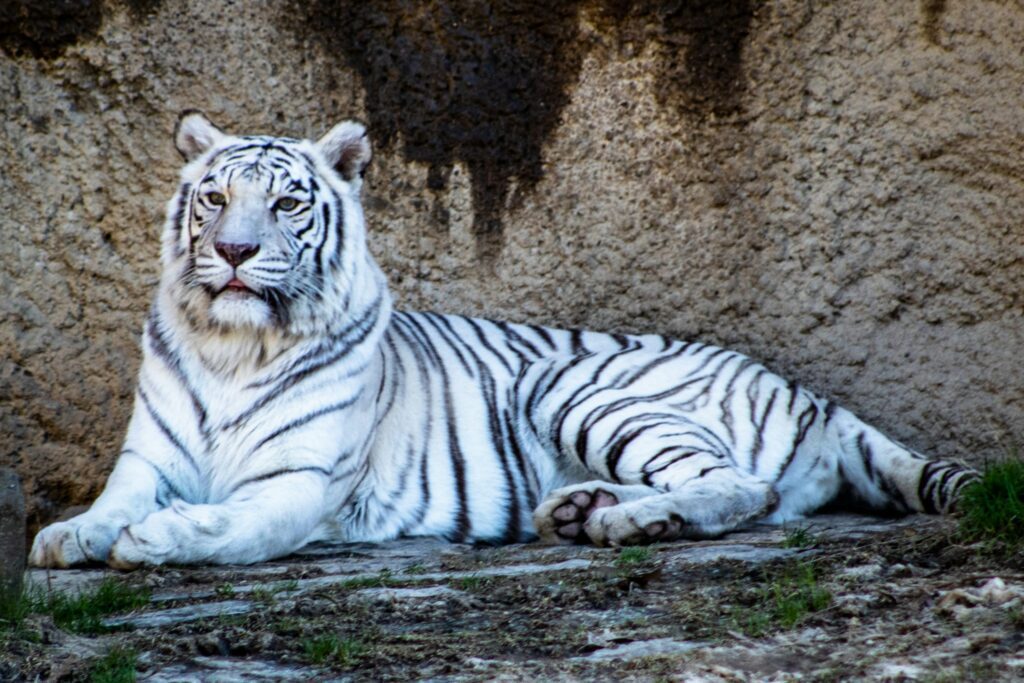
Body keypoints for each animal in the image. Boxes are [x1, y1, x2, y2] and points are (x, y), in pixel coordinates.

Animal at [29, 112, 977, 569]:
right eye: (216, 197)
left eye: (288, 202)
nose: (232, 251)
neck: (233, 345)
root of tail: (811, 395)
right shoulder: (147, 459)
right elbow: (112, 501)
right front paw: (69, 536)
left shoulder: (298, 480)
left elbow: (233, 527)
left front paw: (156, 540)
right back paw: (583, 509)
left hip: (571, 385)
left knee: (743, 486)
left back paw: (629, 521)